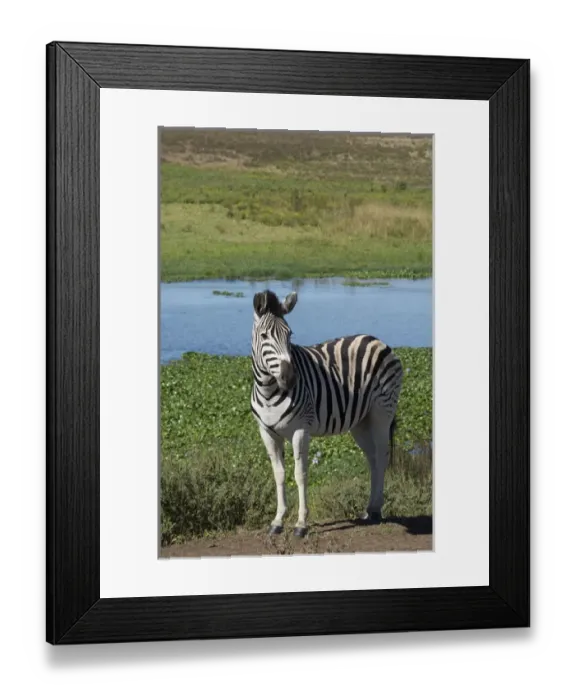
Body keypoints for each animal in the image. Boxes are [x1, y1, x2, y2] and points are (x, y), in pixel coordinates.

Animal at [250, 289, 403, 537]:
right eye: (264, 336)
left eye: (290, 335)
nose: (290, 378)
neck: (269, 391)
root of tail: (376, 340)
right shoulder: (267, 432)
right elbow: (279, 474)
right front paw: (278, 520)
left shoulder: (301, 430)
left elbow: (300, 474)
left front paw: (301, 524)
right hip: (361, 422)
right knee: (372, 458)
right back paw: (370, 509)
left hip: (382, 412)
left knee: (381, 456)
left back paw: (377, 510)